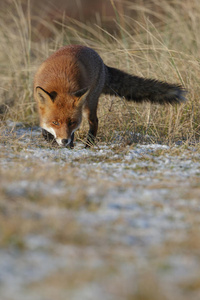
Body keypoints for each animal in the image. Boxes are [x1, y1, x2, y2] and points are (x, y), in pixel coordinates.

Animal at [33, 44, 187, 148]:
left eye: (72, 123)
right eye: (55, 122)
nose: (64, 141)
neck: (60, 82)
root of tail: (102, 63)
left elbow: (73, 133)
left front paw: (68, 144)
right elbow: (44, 125)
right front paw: (49, 137)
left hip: (90, 102)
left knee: (94, 122)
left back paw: (89, 145)